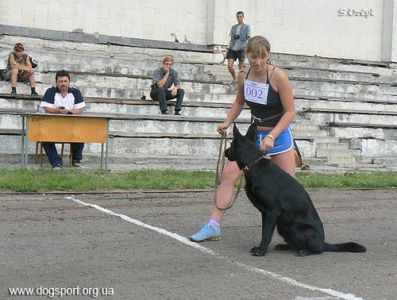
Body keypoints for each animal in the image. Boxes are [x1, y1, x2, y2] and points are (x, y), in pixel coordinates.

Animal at [224, 123, 366, 256]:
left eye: (231, 144)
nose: (225, 151)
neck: (254, 164)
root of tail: (323, 242)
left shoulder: (272, 211)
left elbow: (266, 234)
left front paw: (262, 251)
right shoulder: (265, 214)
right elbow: (264, 232)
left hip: (296, 228)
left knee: (318, 250)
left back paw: (306, 251)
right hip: (282, 227)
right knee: (295, 244)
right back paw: (284, 246)